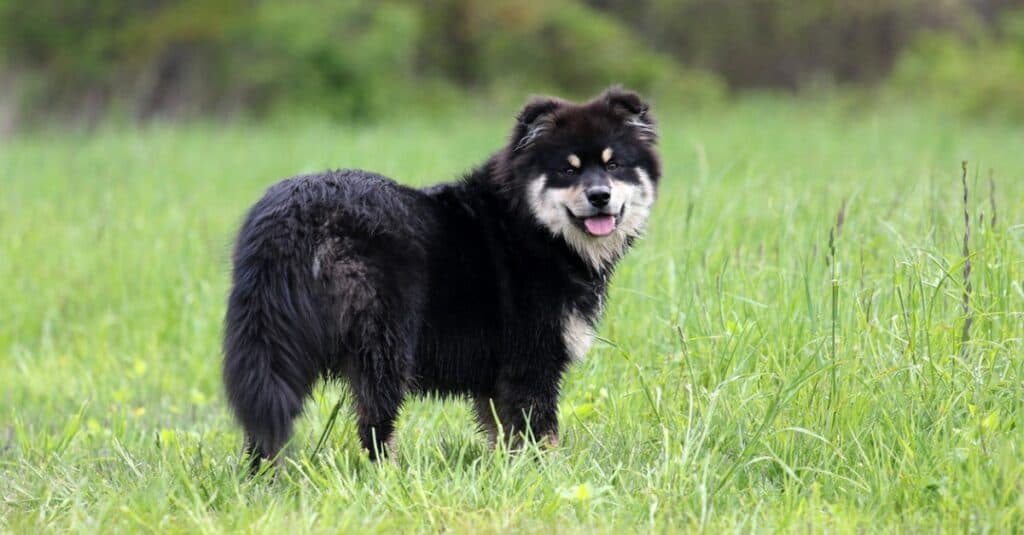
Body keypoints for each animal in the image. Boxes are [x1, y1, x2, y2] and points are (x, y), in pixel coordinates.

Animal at [220, 86, 659, 467]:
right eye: (567, 170)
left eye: (614, 164)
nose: (600, 196)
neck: (533, 228)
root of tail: (290, 218)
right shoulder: (532, 362)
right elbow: (540, 432)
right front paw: (547, 475)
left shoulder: (496, 381)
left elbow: (504, 435)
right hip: (384, 343)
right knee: (375, 424)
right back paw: (386, 474)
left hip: (274, 341)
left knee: (266, 421)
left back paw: (262, 478)